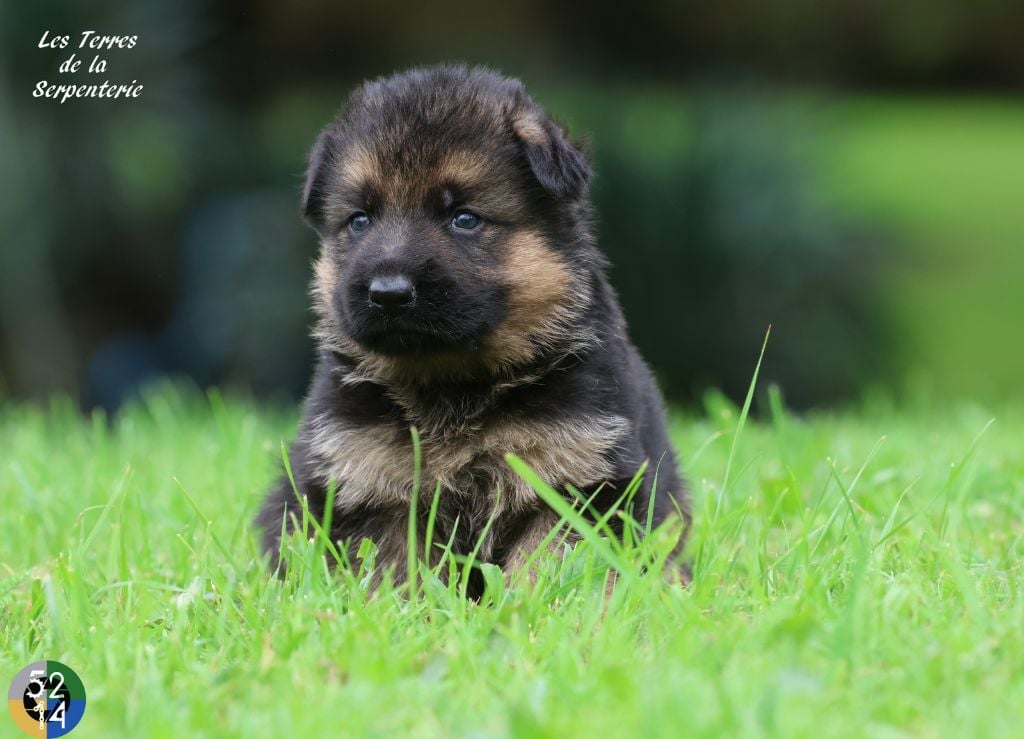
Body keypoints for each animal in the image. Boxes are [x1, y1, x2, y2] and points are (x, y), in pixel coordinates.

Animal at [254, 64, 688, 593]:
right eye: (359, 220)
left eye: (464, 218)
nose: (388, 293)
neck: (453, 387)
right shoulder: (368, 483)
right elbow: (395, 572)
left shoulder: (577, 480)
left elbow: (545, 566)